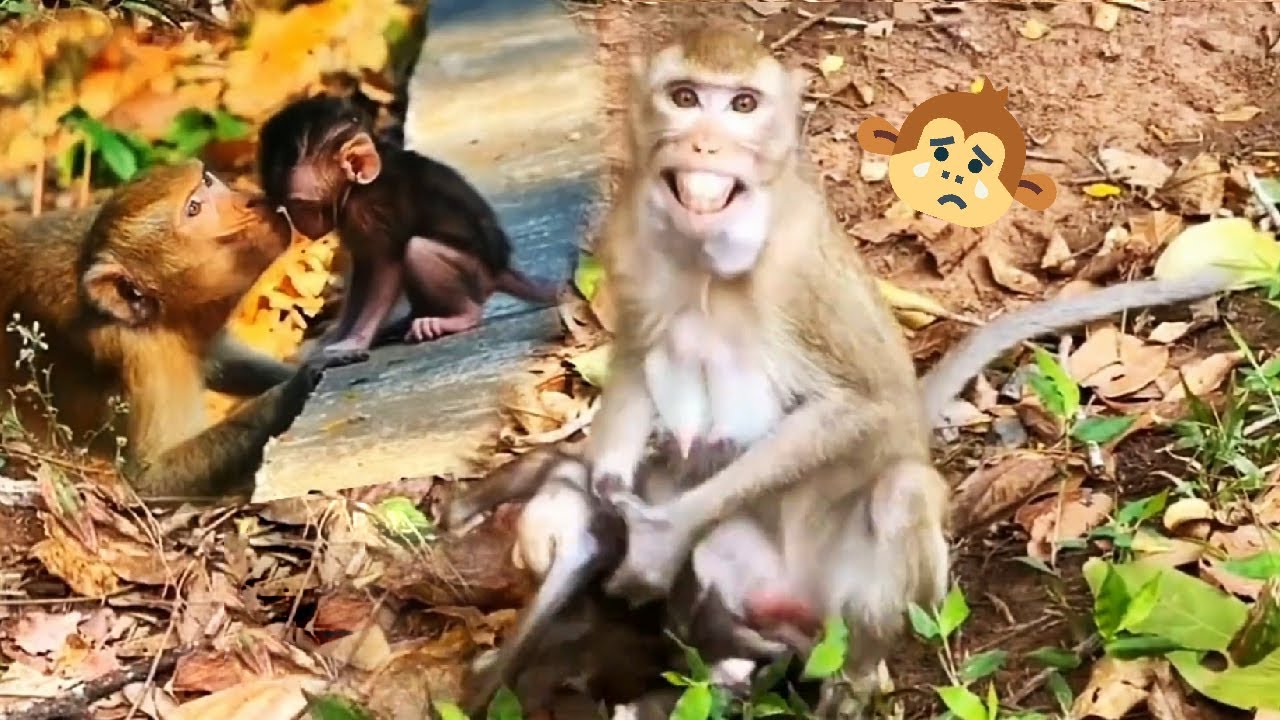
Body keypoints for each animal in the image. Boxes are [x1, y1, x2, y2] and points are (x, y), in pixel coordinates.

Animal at [0, 160, 321, 499]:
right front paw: (299, 385)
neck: (161, 316)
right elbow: (150, 480)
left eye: (208, 182)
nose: (252, 200)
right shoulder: (147, 360)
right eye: (194, 208)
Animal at [257, 95, 562, 368]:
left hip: (476, 274)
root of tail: (500, 268)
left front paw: (355, 340)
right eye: (285, 206)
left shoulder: (371, 210)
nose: (299, 225)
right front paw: (336, 338)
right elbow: (364, 271)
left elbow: (385, 268)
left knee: (417, 250)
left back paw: (460, 317)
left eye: (301, 205)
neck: (358, 189)